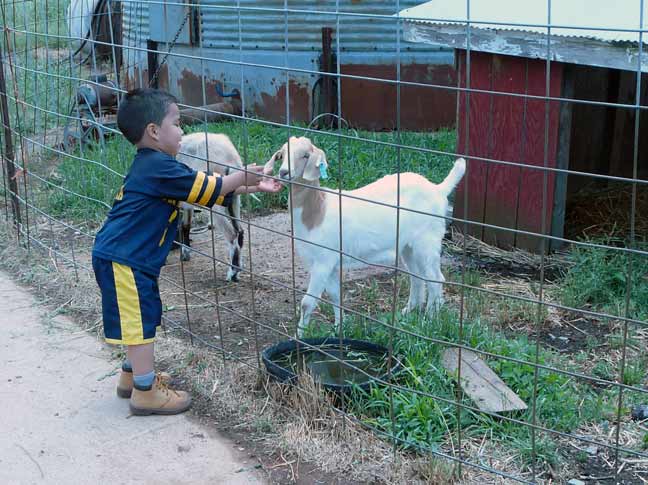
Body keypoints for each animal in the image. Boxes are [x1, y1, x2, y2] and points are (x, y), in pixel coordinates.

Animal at [176, 132, 244, 284]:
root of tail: (232, 159)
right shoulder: (187, 203)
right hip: (235, 200)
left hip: (216, 203)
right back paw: (237, 272)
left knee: (231, 234)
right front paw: (185, 253)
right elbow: (185, 225)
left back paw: (232, 273)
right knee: (240, 231)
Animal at [268, 134, 466, 334]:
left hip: (427, 240)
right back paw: (409, 312)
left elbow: (307, 303)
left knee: (435, 279)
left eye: (305, 155)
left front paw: (299, 335)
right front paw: (339, 328)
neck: (317, 211)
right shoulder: (325, 262)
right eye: (282, 154)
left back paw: (430, 320)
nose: (284, 172)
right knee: (417, 277)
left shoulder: (324, 260)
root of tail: (438, 189)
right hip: (408, 246)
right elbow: (335, 295)